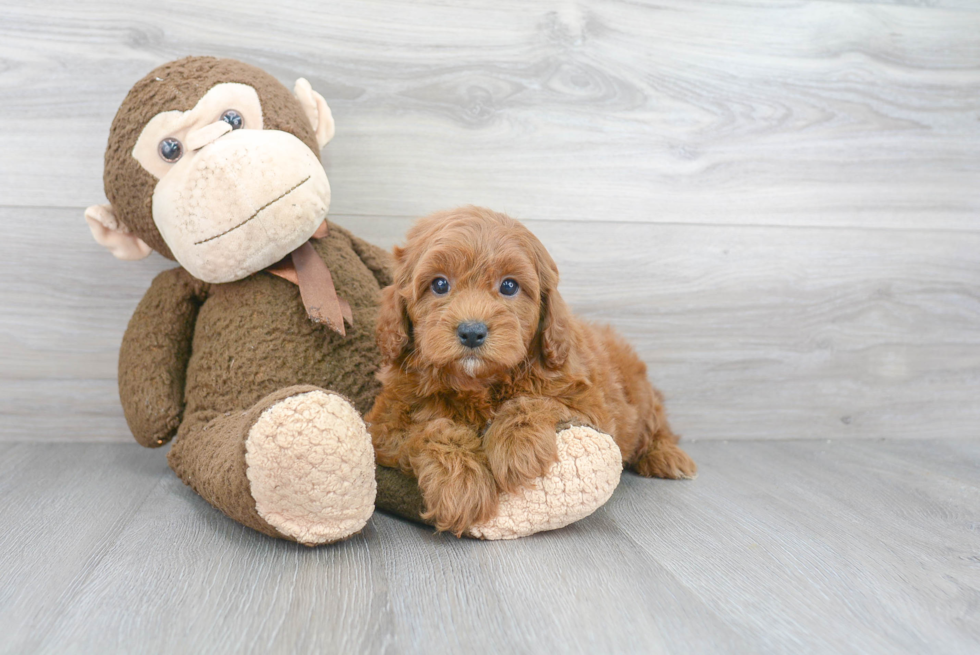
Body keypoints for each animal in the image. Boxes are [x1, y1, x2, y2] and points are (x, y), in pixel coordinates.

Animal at [368, 208, 696, 536]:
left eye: (509, 286)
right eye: (439, 285)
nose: (472, 332)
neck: (479, 384)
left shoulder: (590, 405)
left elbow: (538, 401)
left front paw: (517, 447)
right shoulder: (385, 424)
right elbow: (429, 429)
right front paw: (461, 483)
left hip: (639, 392)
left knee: (657, 427)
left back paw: (668, 457)